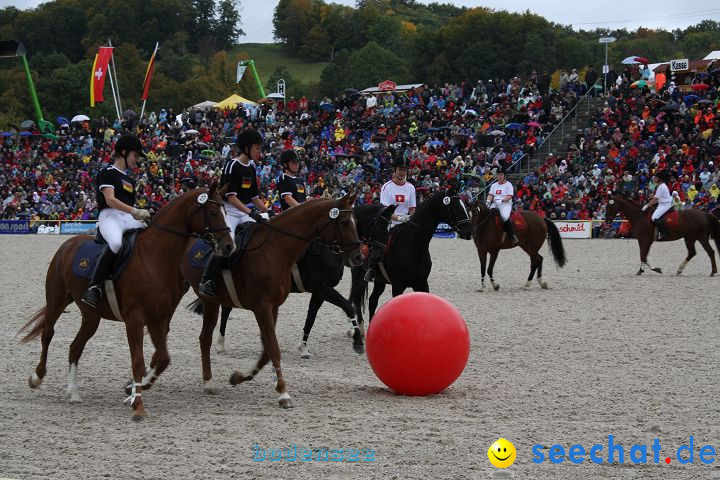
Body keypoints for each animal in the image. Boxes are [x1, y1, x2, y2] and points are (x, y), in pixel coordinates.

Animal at [18, 186, 233, 418]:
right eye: (213, 212)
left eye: (225, 211)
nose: (228, 246)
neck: (154, 257)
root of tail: (68, 244)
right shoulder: (135, 319)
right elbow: (138, 362)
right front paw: (137, 405)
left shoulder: (158, 318)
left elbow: (163, 358)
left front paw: (133, 391)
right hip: (56, 301)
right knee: (48, 334)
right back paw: (36, 377)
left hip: (91, 316)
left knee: (75, 347)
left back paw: (74, 393)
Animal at [180, 193, 360, 406]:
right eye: (344, 222)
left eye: (356, 222)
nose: (358, 256)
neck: (274, 249)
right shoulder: (277, 302)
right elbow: (274, 346)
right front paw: (283, 393)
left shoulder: (280, 304)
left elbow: (273, 344)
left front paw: (240, 377)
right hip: (208, 300)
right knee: (206, 335)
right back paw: (211, 372)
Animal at [197, 202, 396, 356]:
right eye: (378, 226)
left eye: (389, 229)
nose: (377, 256)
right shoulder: (321, 287)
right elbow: (348, 306)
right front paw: (357, 342)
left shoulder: (319, 291)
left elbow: (311, 317)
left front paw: (303, 348)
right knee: (226, 310)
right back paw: (221, 344)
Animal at [348, 188, 476, 326]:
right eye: (456, 207)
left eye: (465, 206)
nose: (469, 231)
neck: (414, 246)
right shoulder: (398, 286)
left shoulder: (421, 283)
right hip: (358, 275)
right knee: (356, 298)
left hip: (379, 280)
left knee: (372, 301)